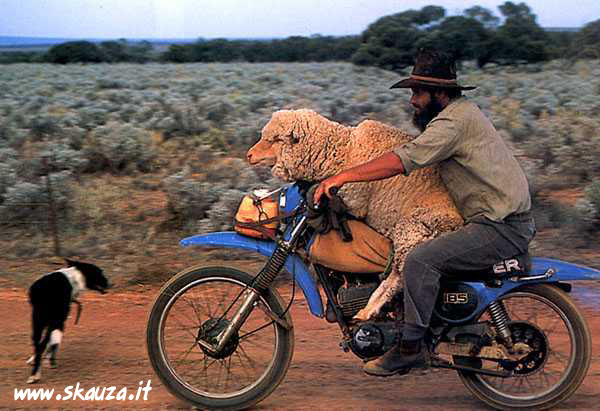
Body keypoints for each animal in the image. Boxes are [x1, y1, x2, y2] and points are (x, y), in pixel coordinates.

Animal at [247, 109, 463, 321]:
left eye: (275, 139)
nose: (249, 155)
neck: (345, 151)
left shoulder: (354, 203)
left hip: (413, 230)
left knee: (399, 274)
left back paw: (369, 310)